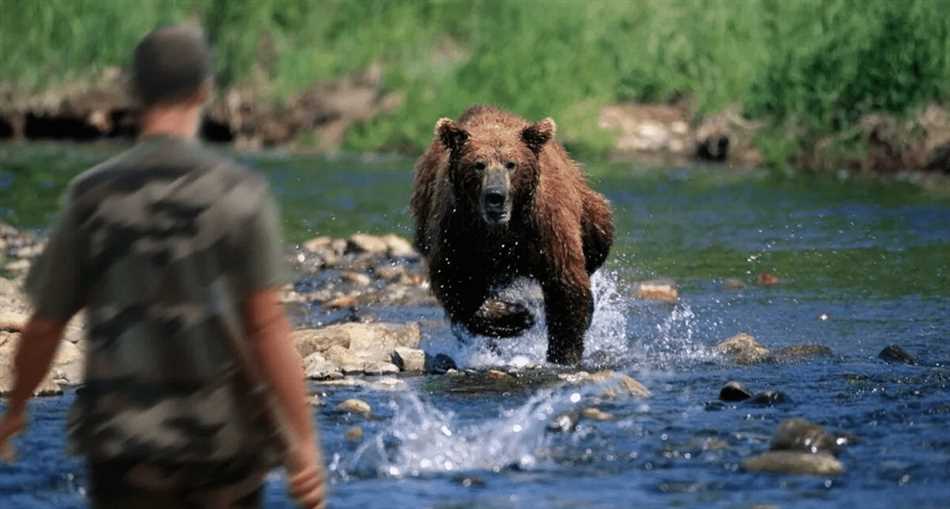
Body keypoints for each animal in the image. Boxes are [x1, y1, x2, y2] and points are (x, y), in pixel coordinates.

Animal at [410, 105, 616, 364]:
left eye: (511, 164)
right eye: (479, 164)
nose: (495, 196)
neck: (502, 230)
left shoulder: (546, 226)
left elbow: (564, 284)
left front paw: (563, 353)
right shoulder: (458, 230)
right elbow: (456, 284)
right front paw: (516, 317)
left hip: (588, 210)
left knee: (599, 234)